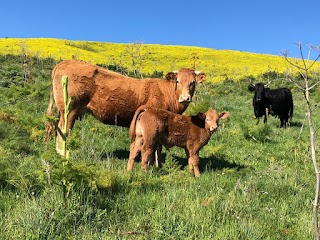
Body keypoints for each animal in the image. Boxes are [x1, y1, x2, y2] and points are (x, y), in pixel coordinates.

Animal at [45, 59, 205, 155]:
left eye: (193, 82)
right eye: (178, 81)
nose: (185, 98)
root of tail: (64, 62)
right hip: (69, 110)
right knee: (62, 133)